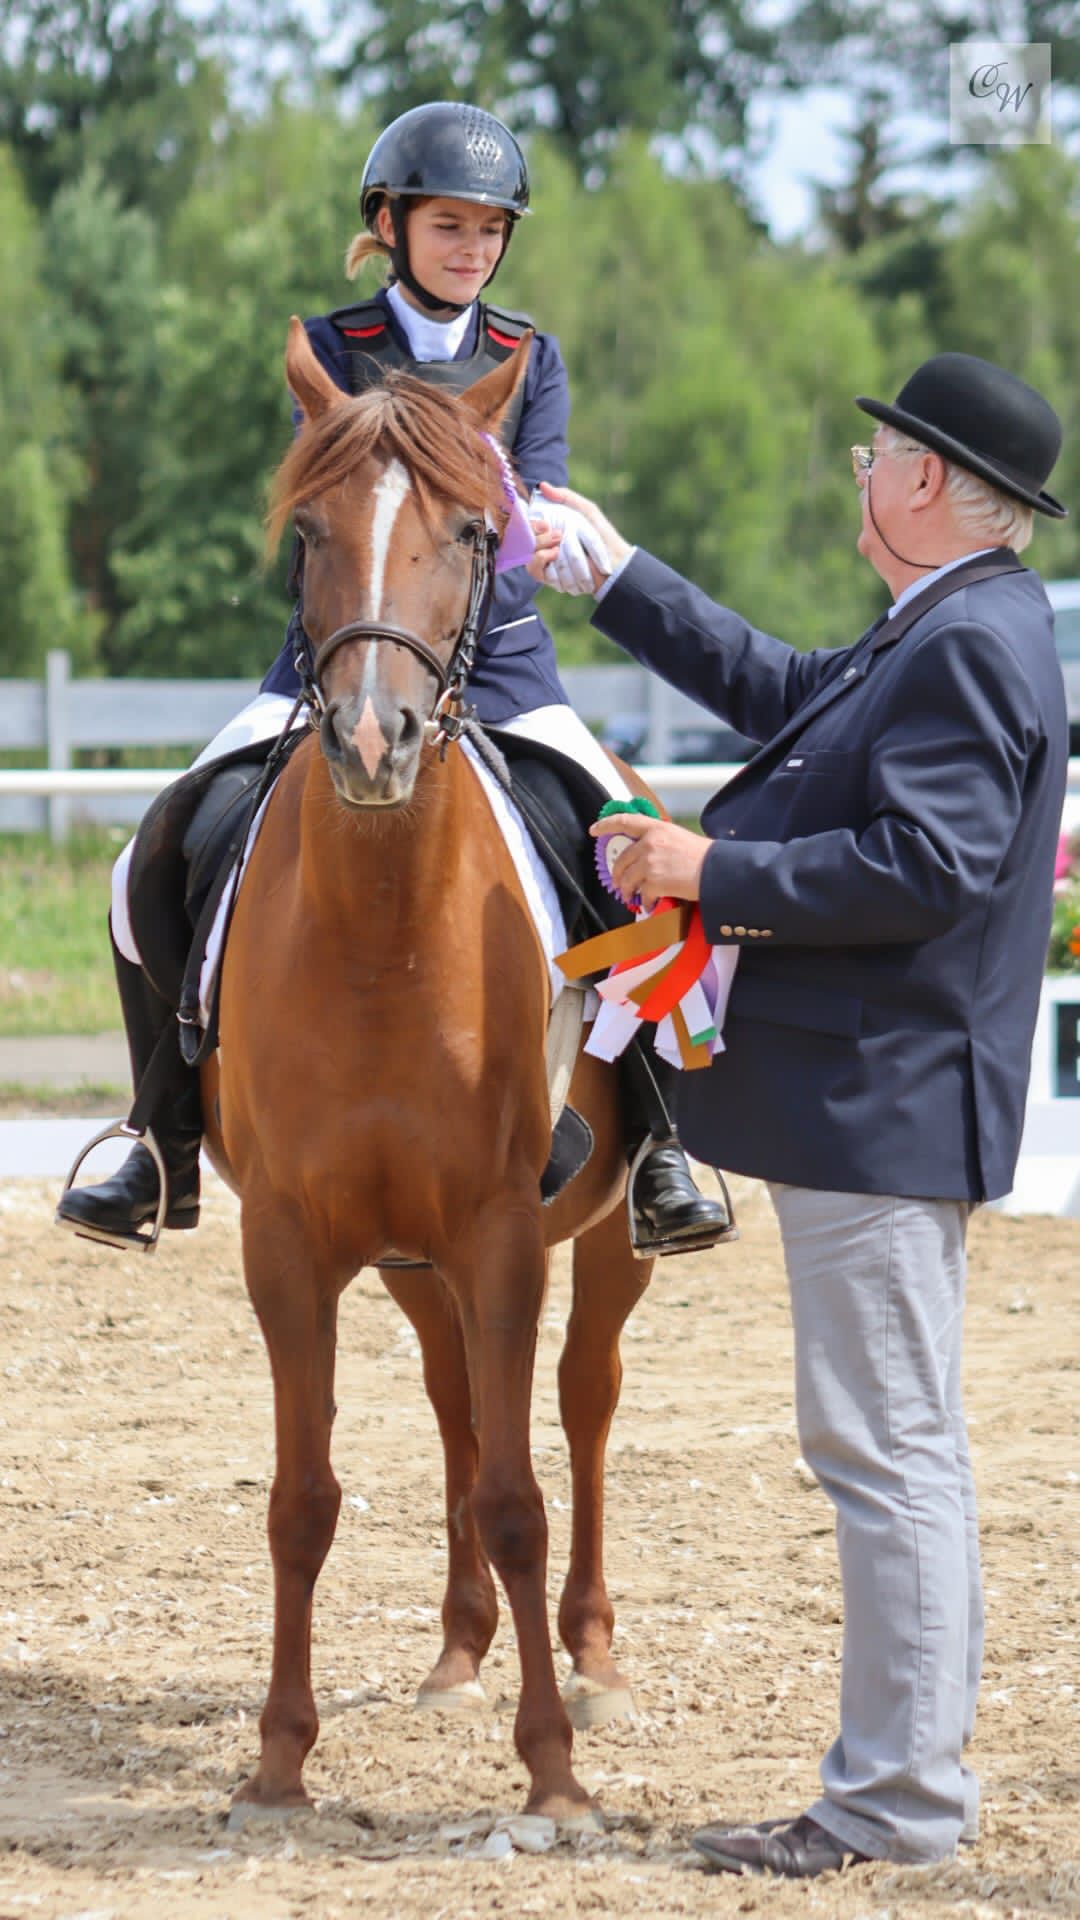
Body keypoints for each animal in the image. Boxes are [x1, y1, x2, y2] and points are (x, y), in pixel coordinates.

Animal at [202, 322, 657, 1820]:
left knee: (580, 1404)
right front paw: (278, 1761)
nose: (369, 741)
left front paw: (555, 1774)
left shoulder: (504, 1232)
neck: (383, 937)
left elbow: (521, 1493)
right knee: (461, 1406)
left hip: (596, 1243)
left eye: (476, 531)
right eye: (307, 533)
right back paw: (459, 1653)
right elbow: (303, 1499)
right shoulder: (289, 1242)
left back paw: (592, 1653)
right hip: (409, 1259)